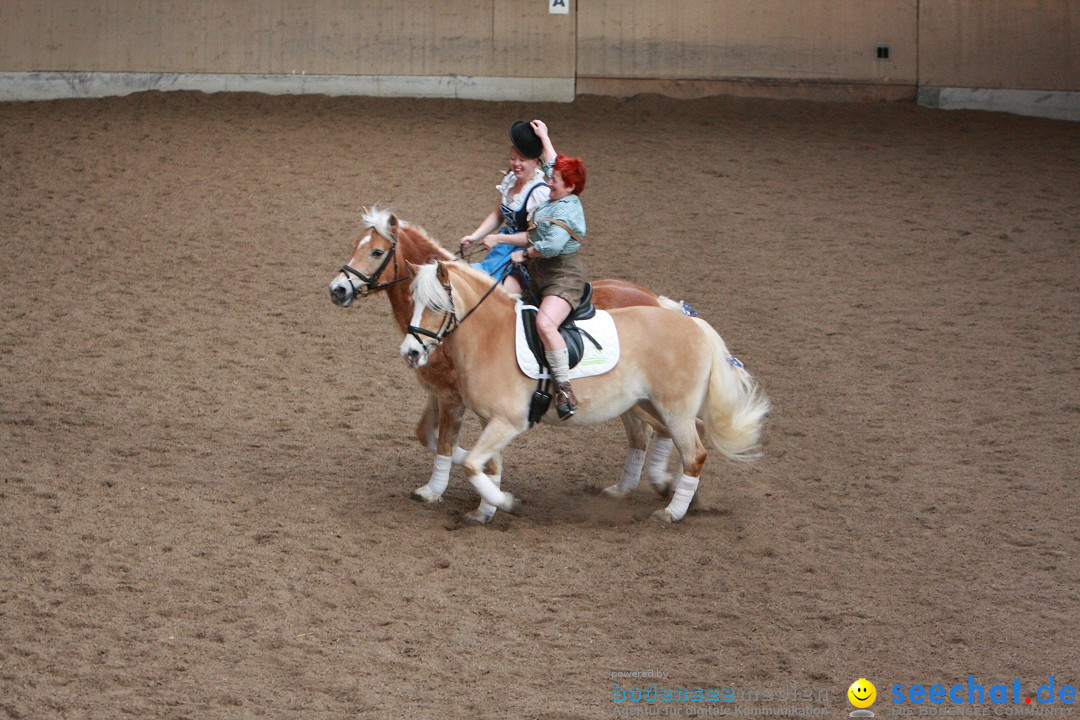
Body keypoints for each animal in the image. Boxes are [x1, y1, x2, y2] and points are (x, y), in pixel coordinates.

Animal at [326, 208, 682, 524]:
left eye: (376, 251)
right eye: (355, 245)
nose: (338, 290)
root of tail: (656, 300)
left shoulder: (453, 398)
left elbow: (444, 444)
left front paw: (436, 490)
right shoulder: (438, 392)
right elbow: (427, 436)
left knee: (660, 428)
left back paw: (664, 484)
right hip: (628, 399)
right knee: (644, 433)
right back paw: (627, 488)